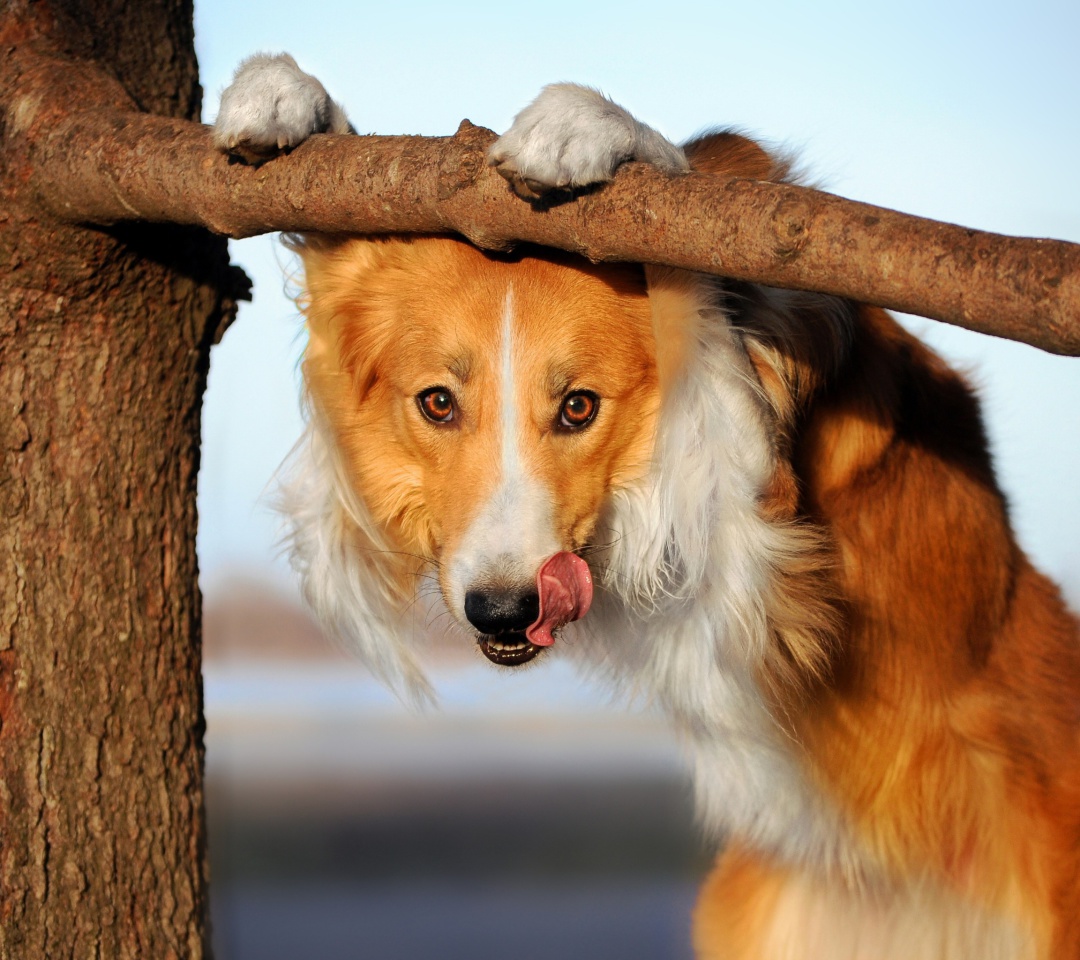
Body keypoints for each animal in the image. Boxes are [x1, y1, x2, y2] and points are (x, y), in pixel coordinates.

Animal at [214, 56, 1075, 954]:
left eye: (579, 408)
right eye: (439, 404)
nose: (504, 611)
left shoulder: (763, 538)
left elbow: (694, 265)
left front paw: (590, 124)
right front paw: (284, 99)